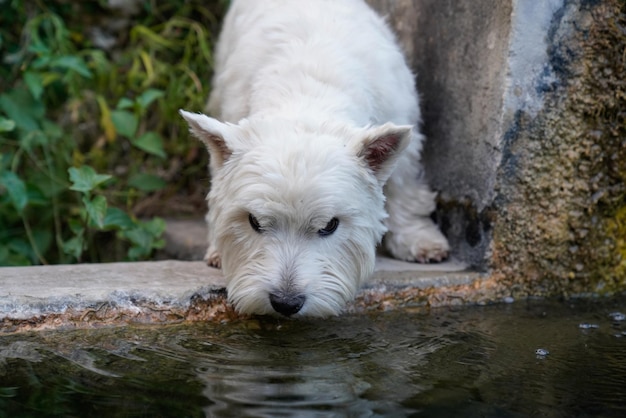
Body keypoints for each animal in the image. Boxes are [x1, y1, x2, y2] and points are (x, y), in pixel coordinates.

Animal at [180, 0, 448, 316]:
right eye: (254, 222)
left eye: (330, 225)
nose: (286, 303)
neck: (306, 97)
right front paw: (217, 250)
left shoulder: (402, 124)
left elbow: (405, 188)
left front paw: (421, 241)